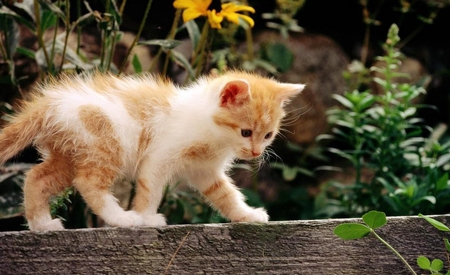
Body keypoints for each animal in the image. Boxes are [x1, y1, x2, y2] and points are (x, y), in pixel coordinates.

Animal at [0, 71, 306, 231]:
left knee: (36, 178)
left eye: (268, 135)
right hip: (105, 146)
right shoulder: (158, 158)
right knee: (88, 183)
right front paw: (147, 218)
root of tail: (49, 102)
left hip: (70, 154)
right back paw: (123, 219)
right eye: (246, 132)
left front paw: (247, 215)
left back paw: (42, 224)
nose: (255, 153)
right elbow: (151, 191)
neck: (211, 135)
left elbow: (226, 196)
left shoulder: (206, 171)